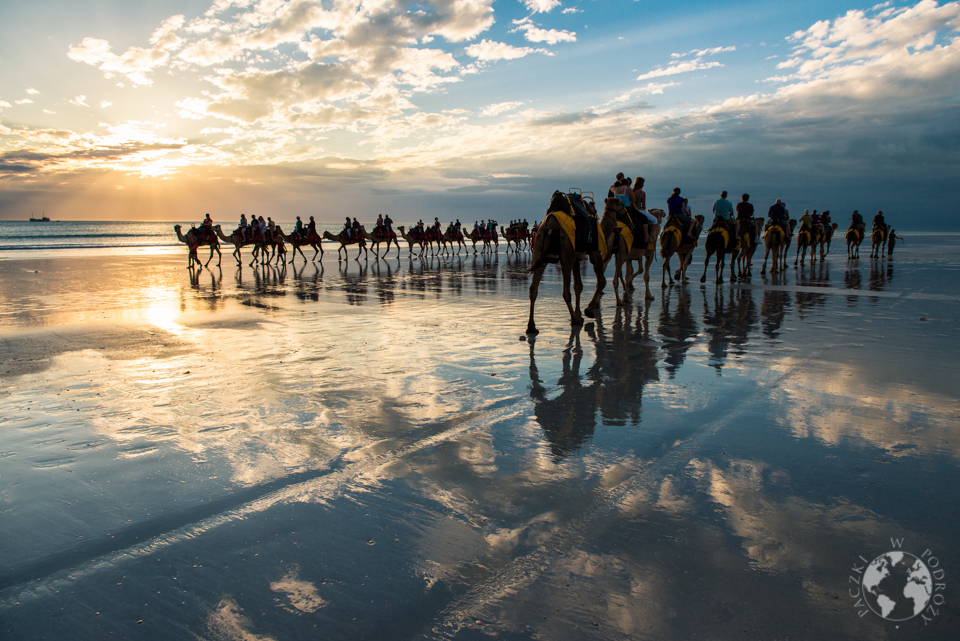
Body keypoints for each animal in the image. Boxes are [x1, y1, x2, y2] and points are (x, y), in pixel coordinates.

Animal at [524, 198, 608, 332]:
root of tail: (551, 225)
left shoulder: (576, 257)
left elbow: (578, 285)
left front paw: (580, 312)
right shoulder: (595, 251)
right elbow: (601, 281)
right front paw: (588, 310)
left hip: (539, 246)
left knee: (533, 289)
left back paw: (532, 326)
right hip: (565, 251)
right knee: (565, 292)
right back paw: (575, 319)